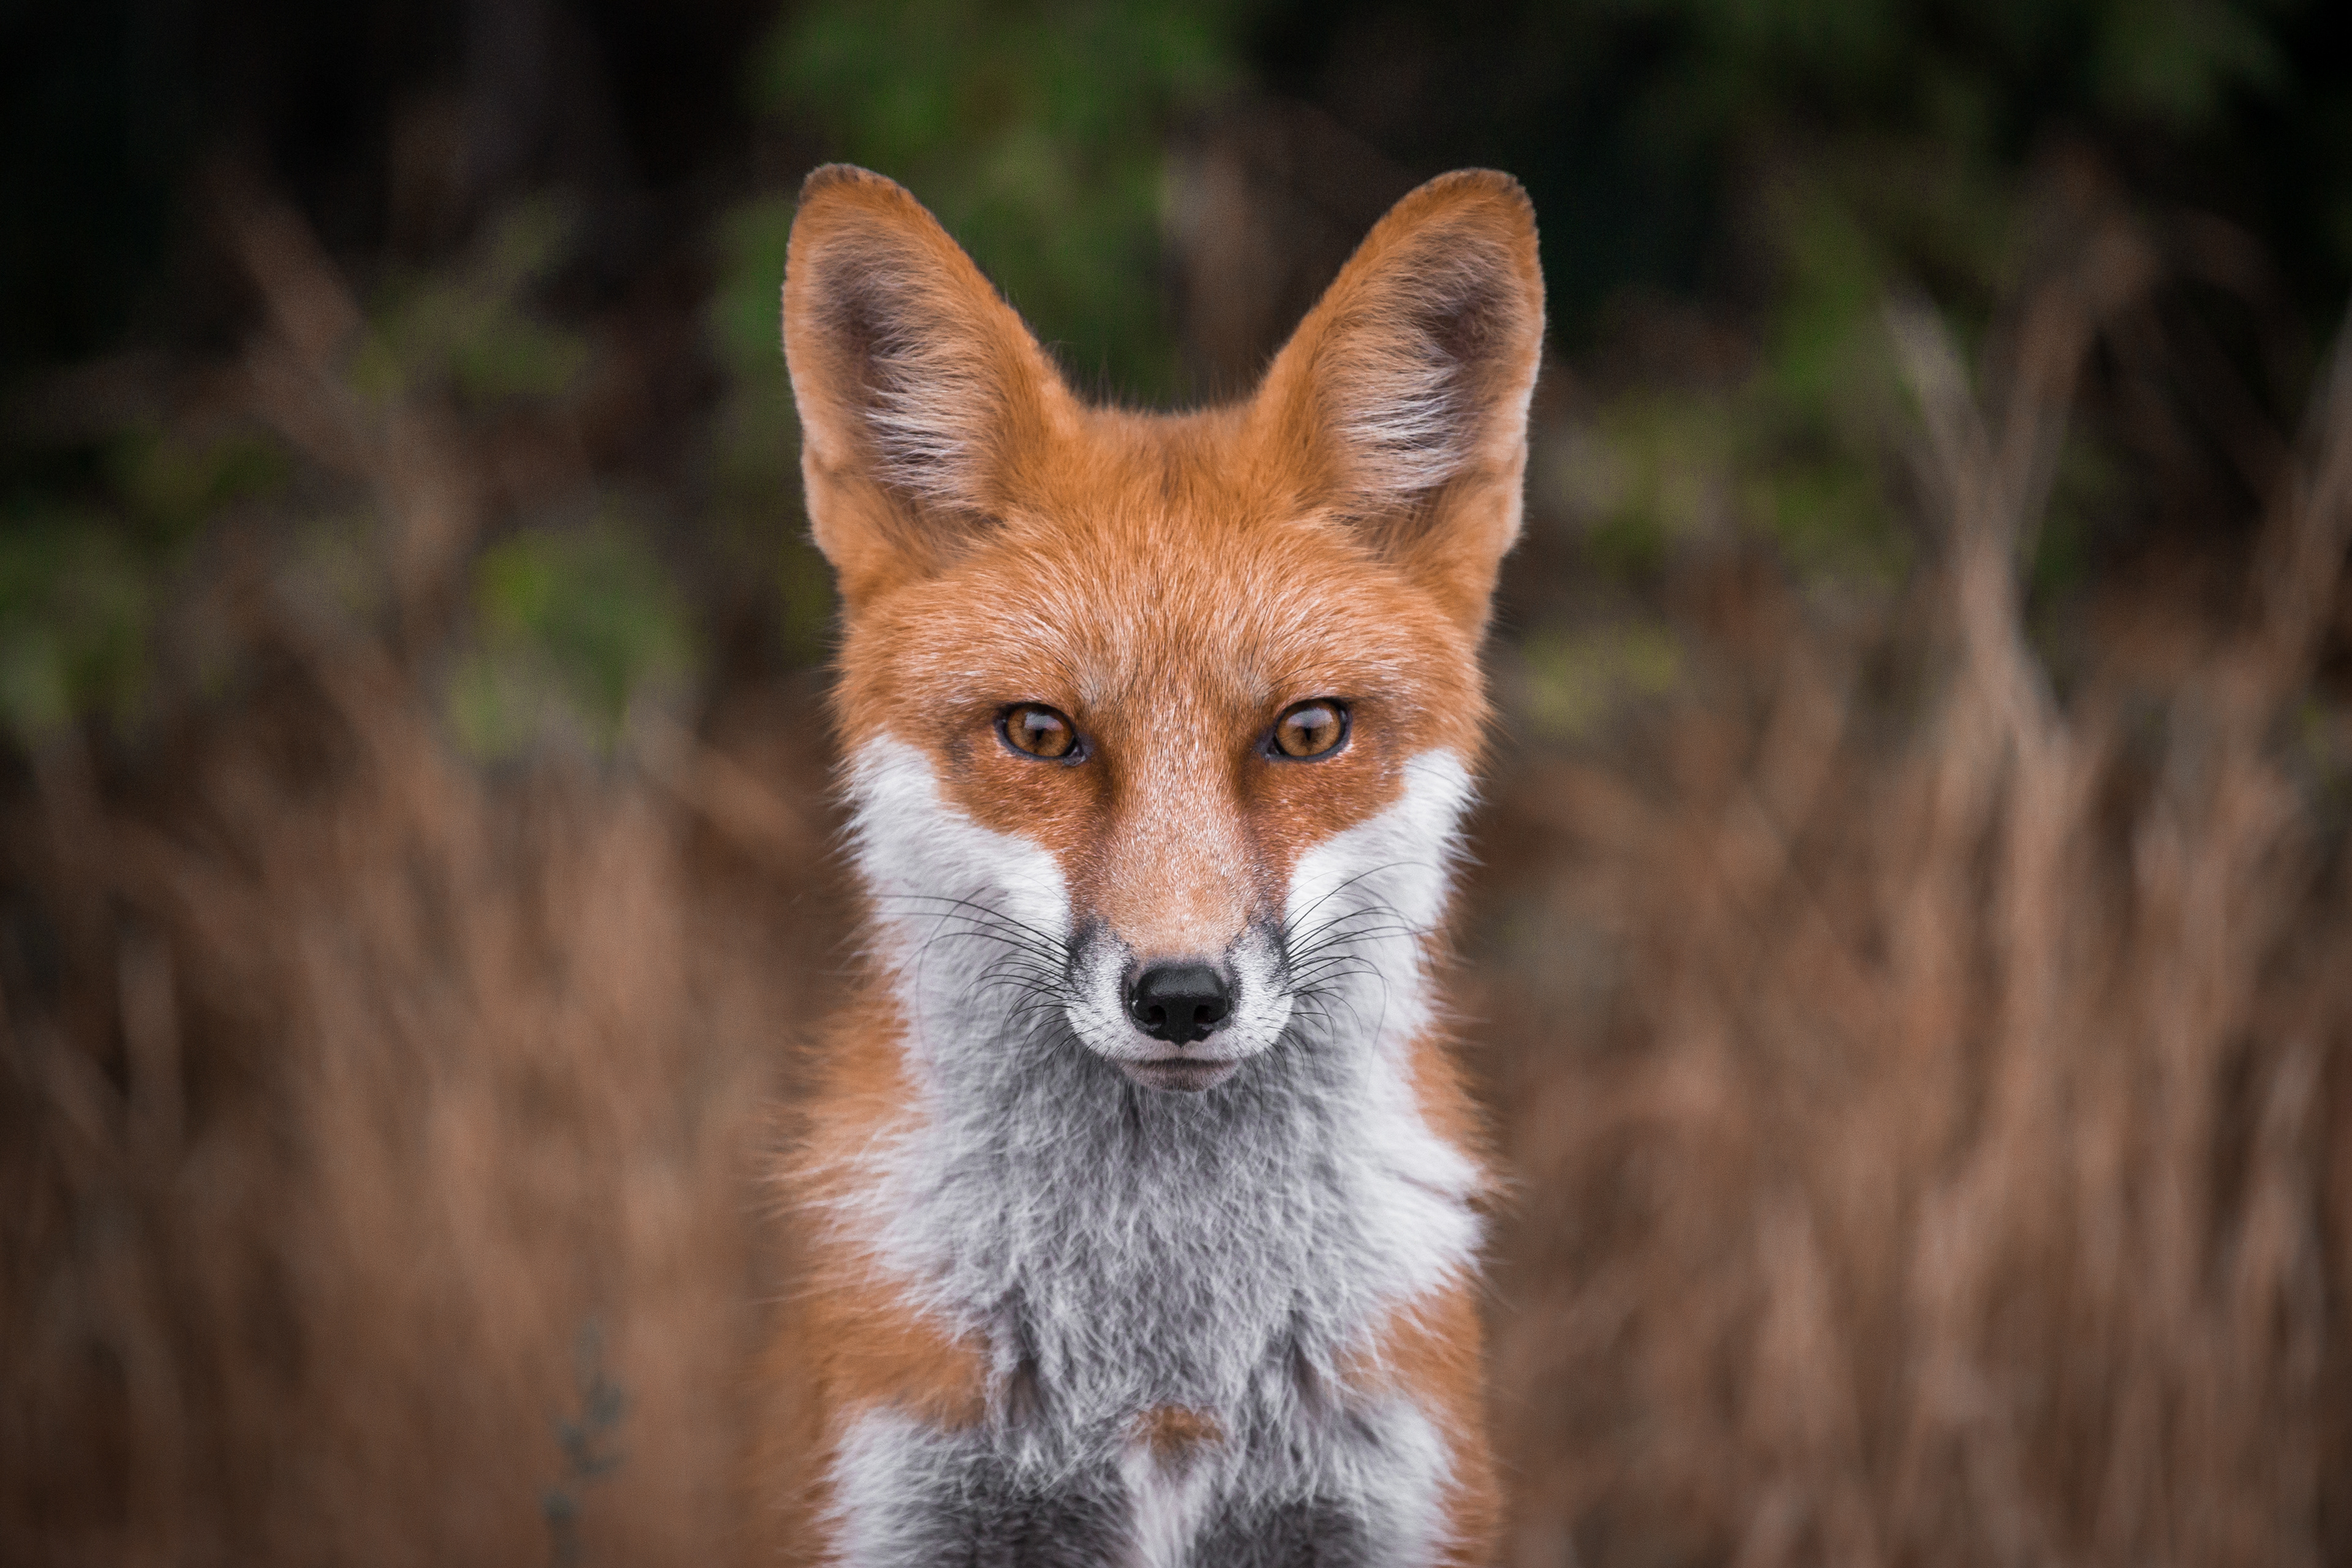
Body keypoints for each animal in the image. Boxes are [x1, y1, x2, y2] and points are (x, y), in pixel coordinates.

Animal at [756, 162, 1544, 1566]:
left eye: (1308, 731)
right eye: (1039, 733)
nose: (1182, 996)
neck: (1164, 1377)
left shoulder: (1380, 1504)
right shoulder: (904, 1497)